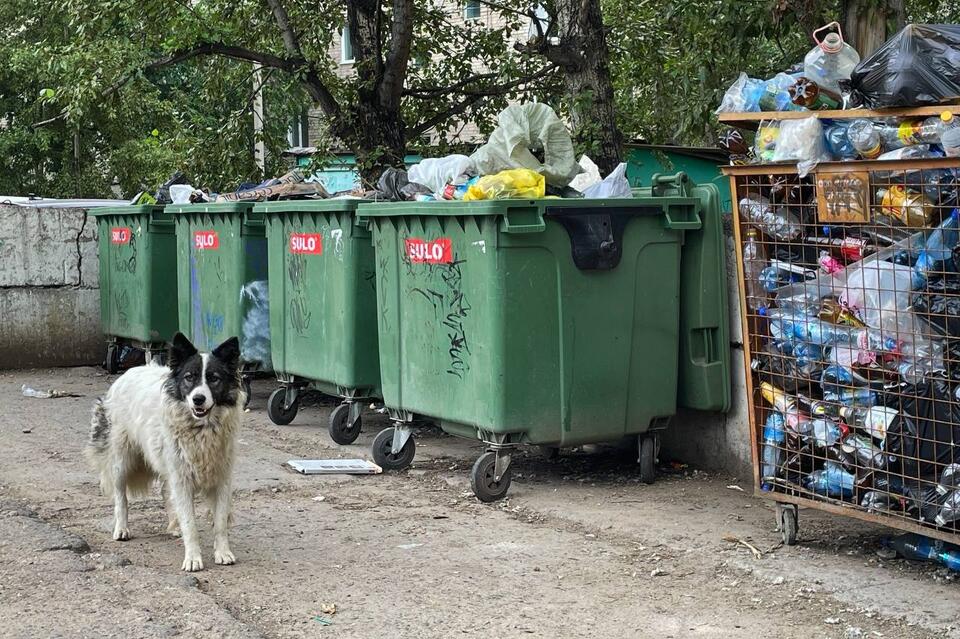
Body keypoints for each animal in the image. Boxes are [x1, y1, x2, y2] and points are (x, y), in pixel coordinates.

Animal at [85, 332, 248, 572]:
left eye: (214, 378)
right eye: (189, 377)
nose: (198, 399)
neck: (201, 429)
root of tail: (129, 372)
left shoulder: (221, 478)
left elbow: (220, 522)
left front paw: (223, 552)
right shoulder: (181, 477)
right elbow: (190, 524)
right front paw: (193, 558)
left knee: (164, 491)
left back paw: (173, 525)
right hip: (122, 460)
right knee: (120, 496)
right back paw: (121, 528)